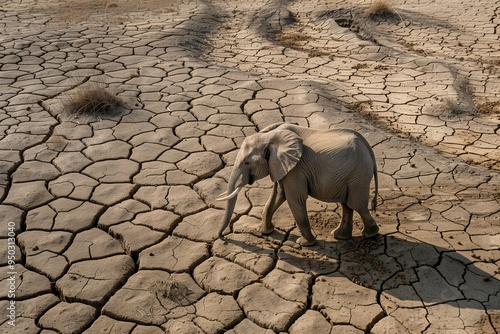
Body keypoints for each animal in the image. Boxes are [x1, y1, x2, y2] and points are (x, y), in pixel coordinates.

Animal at [216, 122, 378, 245]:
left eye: (247, 163)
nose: (223, 238)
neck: (269, 136)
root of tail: (369, 149)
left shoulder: (296, 168)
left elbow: (294, 199)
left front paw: (305, 243)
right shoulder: (281, 166)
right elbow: (279, 195)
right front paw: (265, 232)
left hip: (358, 175)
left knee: (356, 204)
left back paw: (370, 234)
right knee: (347, 204)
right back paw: (340, 236)